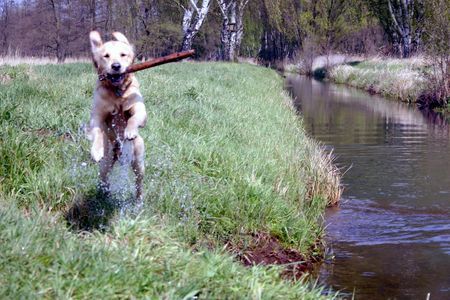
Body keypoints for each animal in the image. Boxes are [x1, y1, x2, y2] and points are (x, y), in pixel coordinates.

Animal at [85, 30, 146, 203]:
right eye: (106, 56)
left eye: (123, 54)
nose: (116, 66)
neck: (117, 92)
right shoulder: (97, 116)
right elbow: (98, 131)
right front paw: (96, 150)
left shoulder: (140, 109)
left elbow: (133, 118)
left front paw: (130, 131)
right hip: (106, 163)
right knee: (104, 178)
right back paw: (105, 193)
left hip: (138, 161)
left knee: (139, 182)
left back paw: (139, 200)